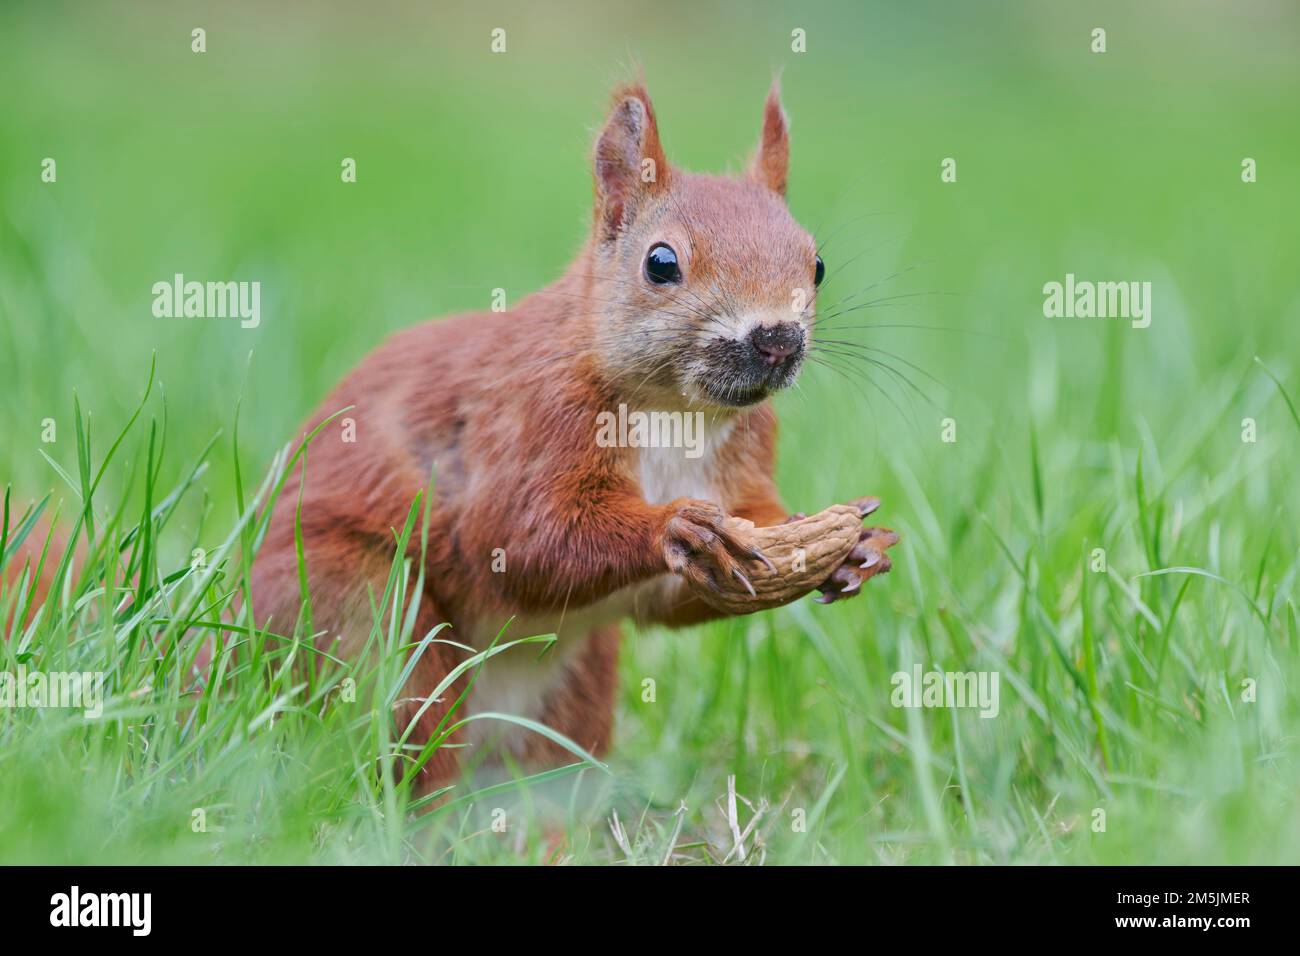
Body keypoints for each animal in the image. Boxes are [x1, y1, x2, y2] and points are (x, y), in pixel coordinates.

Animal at [248, 83, 899, 789]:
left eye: (818, 263)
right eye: (660, 263)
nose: (777, 339)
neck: (679, 412)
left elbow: (686, 586)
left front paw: (852, 547)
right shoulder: (533, 418)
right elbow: (520, 536)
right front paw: (675, 527)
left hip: (579, 681)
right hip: (360, 614)